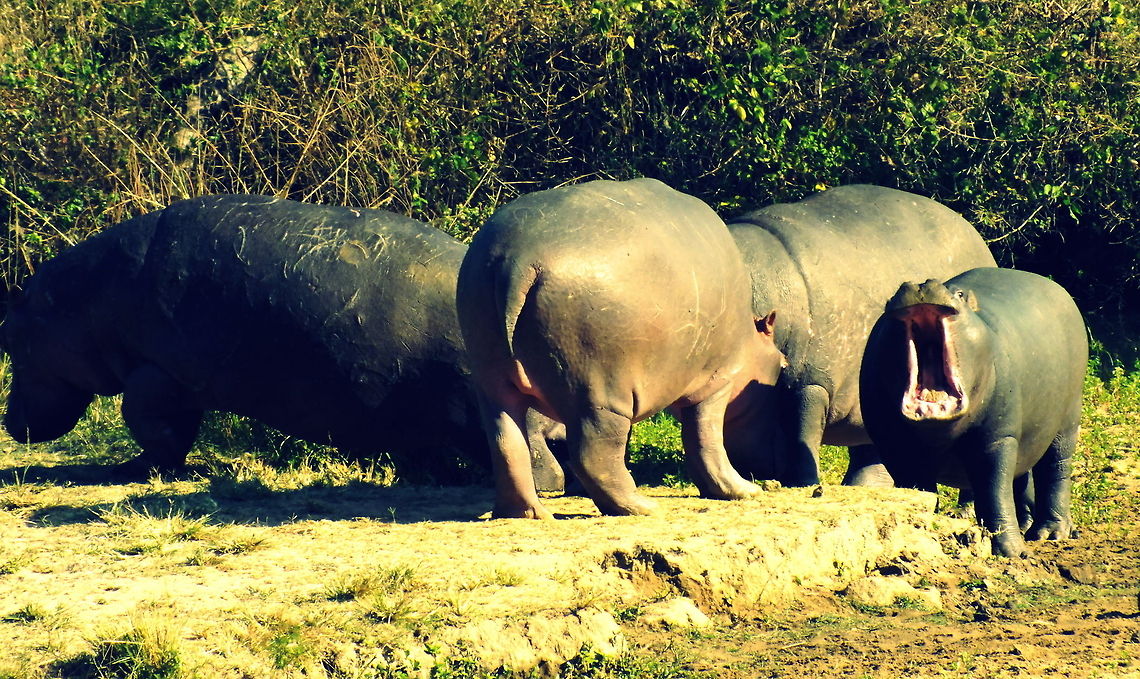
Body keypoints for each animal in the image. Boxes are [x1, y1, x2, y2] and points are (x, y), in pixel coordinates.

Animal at [2, 194, 558, 482]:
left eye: (7, 339)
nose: (10, 423)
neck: (78, 304)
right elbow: (173, 430)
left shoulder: (157, 373)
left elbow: (150, 424)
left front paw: (133, 469)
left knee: (533, 462)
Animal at [456, 178, 785, 519]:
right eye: (783, 363)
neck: (751, 338)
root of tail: (515, 260)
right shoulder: (715, 383)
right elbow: (705, 438)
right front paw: (746, 491)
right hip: (598, 392)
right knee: (592, 451)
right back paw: (643, 507)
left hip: (493, 379)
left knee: (506, 442)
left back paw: (527, 514)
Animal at [859, 269, 1087, 557]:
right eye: (890, 297)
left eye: (959, 294)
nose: (920, 284)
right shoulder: (896, 447)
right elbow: (919, 492)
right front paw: (921, 539)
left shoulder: (998, 438)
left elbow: (994, 491)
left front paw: (1011, 551)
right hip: (1028, 435)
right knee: (1023, 477)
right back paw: (1025, 527)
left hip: (1067, 420)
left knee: (1056, 470)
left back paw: (1051, 533)